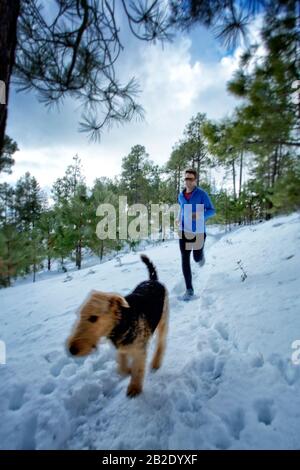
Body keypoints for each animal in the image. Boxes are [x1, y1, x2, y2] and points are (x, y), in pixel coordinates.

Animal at [67, 258, 169, 396]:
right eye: (80, 314)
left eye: (93, 318)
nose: (72, 349)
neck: (122, 320)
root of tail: (153, 280)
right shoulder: (122, 348)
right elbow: (123, 368)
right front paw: (128, 371)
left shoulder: (139, 350)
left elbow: (137, 369)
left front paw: (134, 389)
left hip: (163, 320)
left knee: (161, 343)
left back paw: (156, 363)